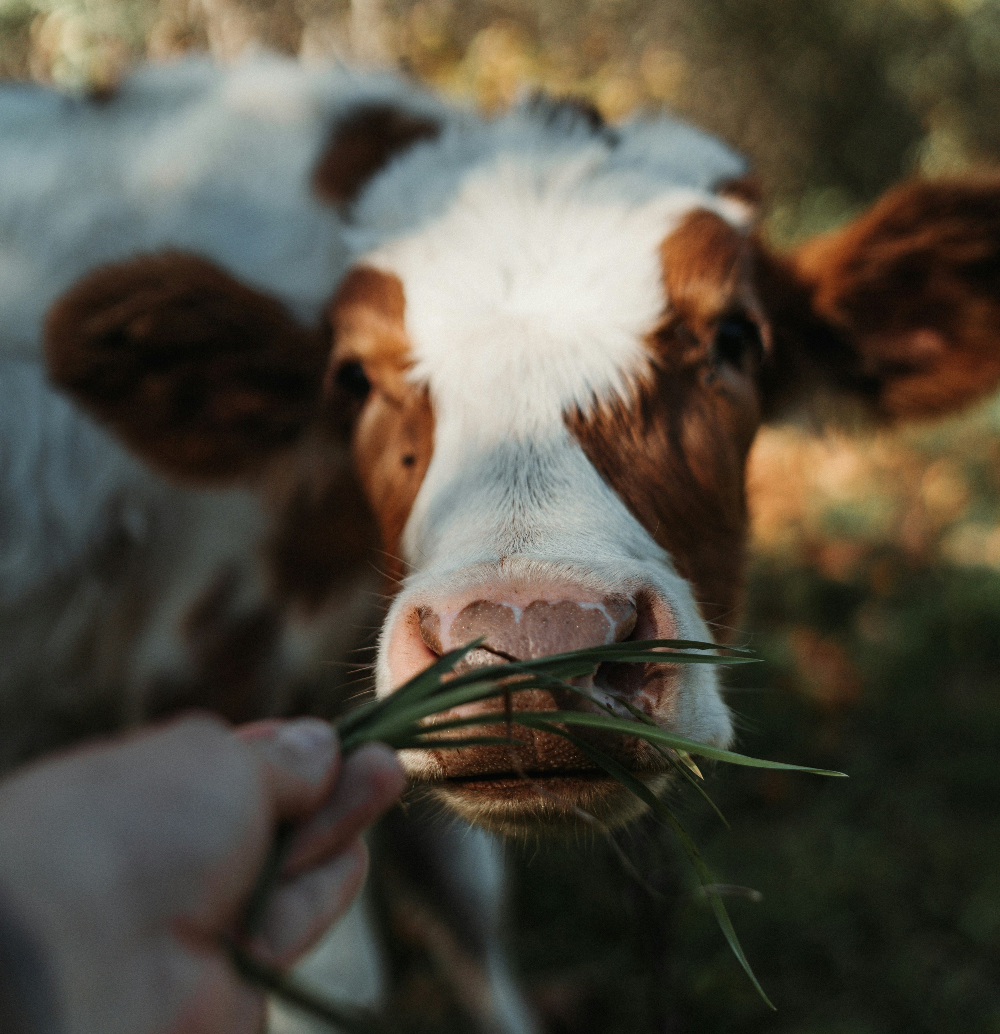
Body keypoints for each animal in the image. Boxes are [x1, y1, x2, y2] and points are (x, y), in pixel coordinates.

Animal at [3, 52, 1000, 1029]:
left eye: (735, 337)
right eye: (351, 377)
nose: (529, 646)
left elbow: (467, 907)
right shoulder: (209, 669)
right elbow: (335, 973)